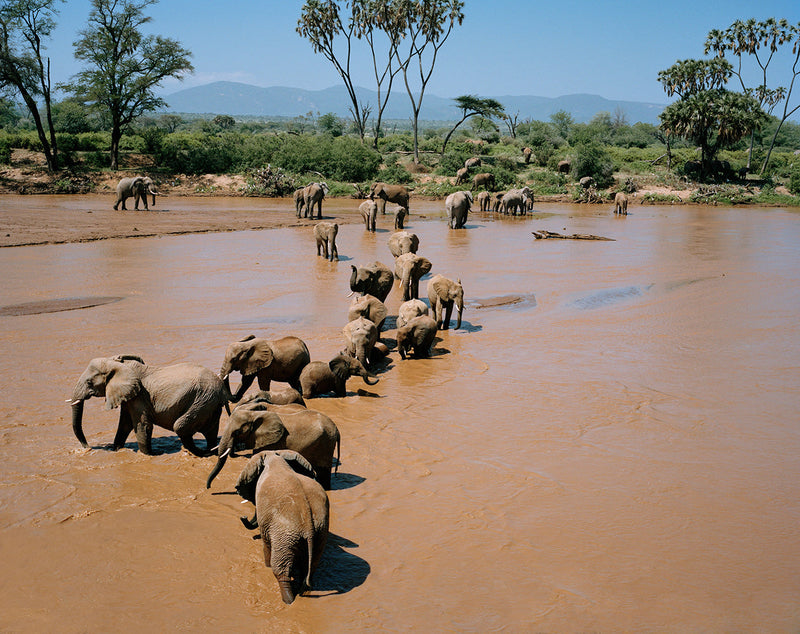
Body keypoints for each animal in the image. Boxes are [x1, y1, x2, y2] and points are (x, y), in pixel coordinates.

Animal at [70, 356, 225, 454]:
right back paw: (211, 450)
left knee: (180, 426)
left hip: (203, 399)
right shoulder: (129, 396)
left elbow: (142, 425)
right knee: (210, 430)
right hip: (209, 402)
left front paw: (148, 455)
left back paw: (200, 452)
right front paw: (116, 449)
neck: (118, 364)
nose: (87, 447)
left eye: (89, 382)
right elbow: (124, 424)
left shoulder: (139, 396)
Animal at [205, 396, 340, 488]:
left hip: (325, 444)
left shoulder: (270, 442)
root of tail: (337, 430)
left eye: (237, 432)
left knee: (323, 471)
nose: (209, 487)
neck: (254, 414)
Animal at [234, 450, 328, 604]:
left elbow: (266, 541)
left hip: (285, 535)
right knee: (311, 565)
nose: (243, 517)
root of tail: (308, 527)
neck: (274, 456)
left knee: (281, 571)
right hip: (320, 531)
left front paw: (266, 565)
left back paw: (288, 601)